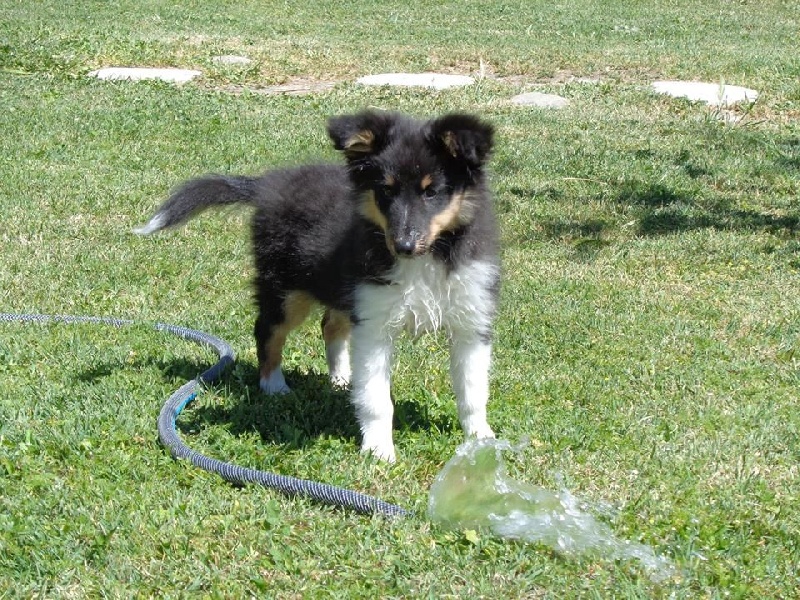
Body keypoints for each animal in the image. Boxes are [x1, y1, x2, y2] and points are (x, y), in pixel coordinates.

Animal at [138, 110, 500, 462]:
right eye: (386, 190)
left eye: (431, 191)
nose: (404, 246)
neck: (428, 258)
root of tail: (269, 184)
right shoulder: (375, 323)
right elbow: (376, 397)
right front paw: (378, 451)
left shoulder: (471, 320)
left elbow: (473, 391)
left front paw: (481, 439)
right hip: (287, 289)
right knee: (268, 330)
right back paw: (274, 386)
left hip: (341, 287)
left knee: (330, 326)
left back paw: (341, 379)